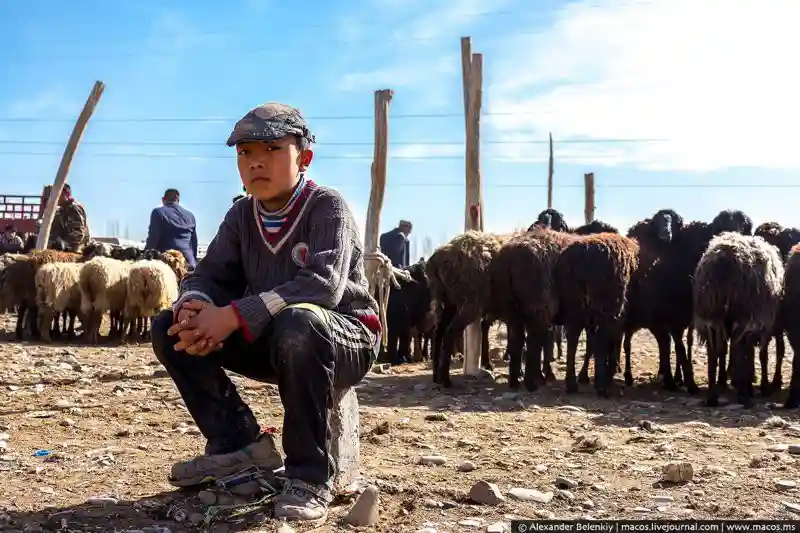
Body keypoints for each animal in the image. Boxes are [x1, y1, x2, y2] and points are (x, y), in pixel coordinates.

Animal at [424, 229, 506, 386]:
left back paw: (436, 376)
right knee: (450, 333)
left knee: (438, 333)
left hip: (449, 301)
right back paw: (446, 380)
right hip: (469, 303)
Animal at [556, 233, 636, 394]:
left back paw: (572, 383)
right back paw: (601, 385)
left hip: (575, 304)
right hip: (604, 306)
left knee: (573, 338)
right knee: (601, 337)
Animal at [692, 233, 780, 408]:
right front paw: (760, 387)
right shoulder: (762, 325)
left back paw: (713, 396)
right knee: (739, 350)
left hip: (710, 318)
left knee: (714, 353)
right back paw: (743, 396)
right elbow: (761, 355)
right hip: (743, 317)